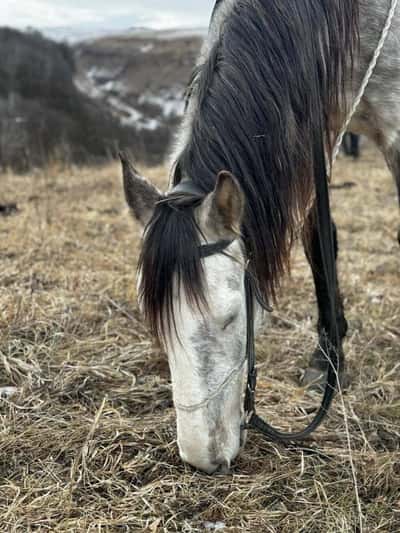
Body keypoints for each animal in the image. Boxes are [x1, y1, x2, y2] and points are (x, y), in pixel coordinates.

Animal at [121, 1, 400, 474]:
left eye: (232, 317)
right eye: (157, 322)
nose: (203, 460)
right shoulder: (314, 133)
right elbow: (319, 245)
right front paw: (327, 364)